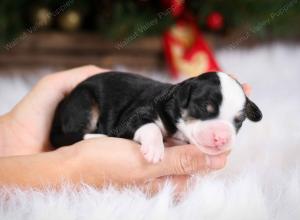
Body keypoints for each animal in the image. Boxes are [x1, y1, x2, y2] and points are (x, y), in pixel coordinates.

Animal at [50, 71, 262, 162]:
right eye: (204, 107)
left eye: (239, 121)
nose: (223, 139)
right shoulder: (131, 119)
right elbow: (150, 126)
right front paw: (154, 150)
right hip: (84, 102)